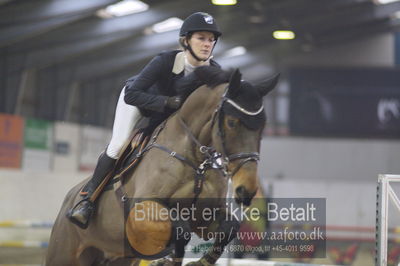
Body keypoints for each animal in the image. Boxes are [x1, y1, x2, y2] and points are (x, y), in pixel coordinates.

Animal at [46, 66, 278, 264]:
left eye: (263, 127)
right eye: (231, 123)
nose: (246, 190)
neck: (197, 163)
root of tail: (68, 201)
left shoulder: (204, 217)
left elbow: (229, 227)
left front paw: (199, 262)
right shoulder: (142, 213)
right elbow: (180, 230)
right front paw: (166, 259)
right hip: (64, 254)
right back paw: (81, 210)